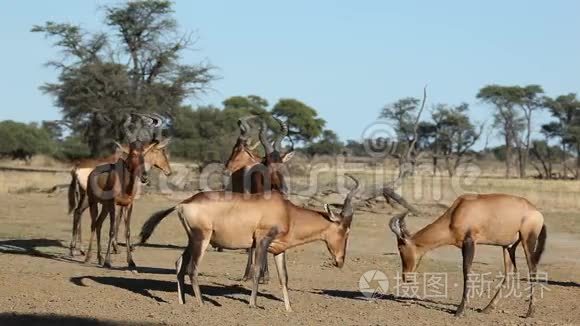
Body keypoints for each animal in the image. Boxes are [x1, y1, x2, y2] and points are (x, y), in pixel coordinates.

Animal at [139, 174, 360, 312]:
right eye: (346, 230)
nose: (340, 261)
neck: (287, 211)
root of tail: (183, 203)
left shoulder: (278, 250)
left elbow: (284, 277)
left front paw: (289, 309)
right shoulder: (261, 240)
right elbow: (257, 270)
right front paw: (253, 305)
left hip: (192, 239)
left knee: (179, 264)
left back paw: (182, 302)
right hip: (202, 238)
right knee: (192, 268)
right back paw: (201, 304)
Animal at [390, 195, 548, 318]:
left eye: (400, 247)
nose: (406, 277)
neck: (458, 210)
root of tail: (536, 211)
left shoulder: (469, 242)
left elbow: (466, 271)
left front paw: (460, 311)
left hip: (528, 240)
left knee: (532, 270)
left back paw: (530, 312)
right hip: (508, 246)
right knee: (510, 273)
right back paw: (487, 308)